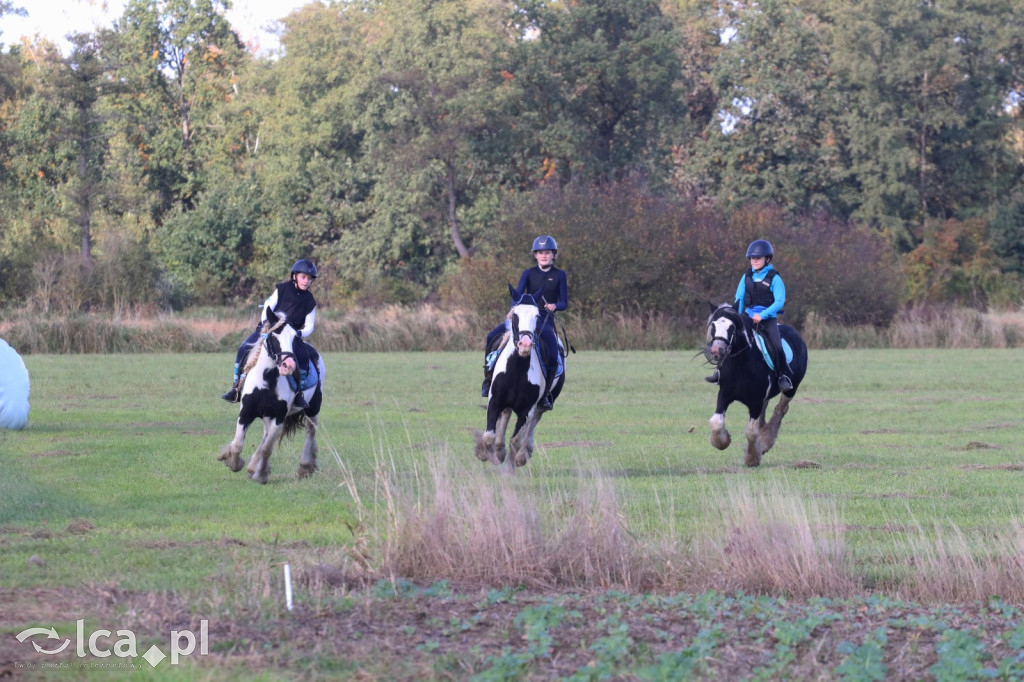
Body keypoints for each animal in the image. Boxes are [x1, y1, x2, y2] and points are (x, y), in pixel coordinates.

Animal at [219, 305, 323, 481]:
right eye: (274, 336)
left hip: (312, 408)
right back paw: (253, 466)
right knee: (265, 435)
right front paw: (234, 463)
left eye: (295, 338)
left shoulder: (278, 417)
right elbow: (238, 444)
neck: (267, 380)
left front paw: (261, 475)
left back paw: (305, 466)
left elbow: (267, 448)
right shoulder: (246, 413)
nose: (289, 365)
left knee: (310, 430)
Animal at [473, 282, 565, 466]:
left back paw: (524, 452)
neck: (517, 370)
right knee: (506, 416)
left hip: (541, 404)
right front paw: (486, 453)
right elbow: (489, 436)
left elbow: (516, 440)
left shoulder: (526, 410)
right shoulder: (495, 401)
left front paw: (514, 459)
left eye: (537, 315)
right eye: (514, 315)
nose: (525, 344)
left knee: (534, 420)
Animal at [704, 301, 806, 464]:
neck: (741, 364)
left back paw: (765, 441)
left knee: (780, 409)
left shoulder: (755, 401)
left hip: (791, 389)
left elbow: (751, 431)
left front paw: (752, 458)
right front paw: (723, 442)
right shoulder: (724, 395)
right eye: (713, 325)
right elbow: (716, 423)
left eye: (732, 327)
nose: (716, 350)